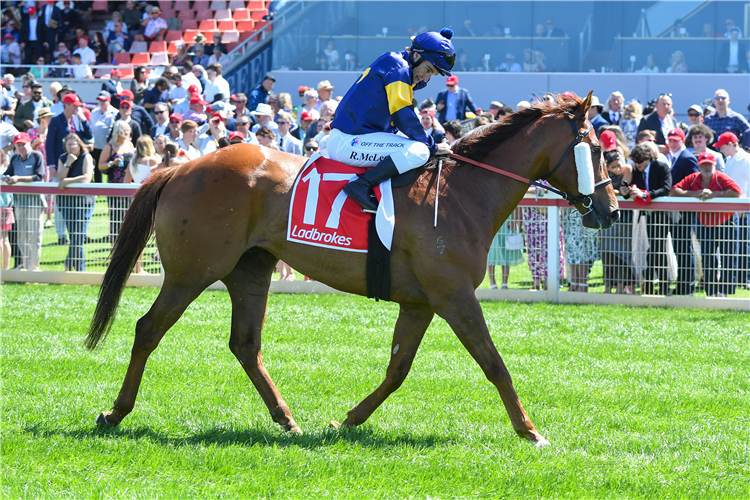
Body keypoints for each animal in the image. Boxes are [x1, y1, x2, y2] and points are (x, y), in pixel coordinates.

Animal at [86, 93, 616, 446]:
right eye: (596, 148)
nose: (610, 210)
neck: (462, 194)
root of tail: (179, 168)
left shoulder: (421, 302)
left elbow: (398, 369)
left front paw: (347, 420)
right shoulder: (454, 296)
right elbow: (494, 363)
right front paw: (530, 430)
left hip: (249, 270)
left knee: (245, 345)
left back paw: (287, 418)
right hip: (191, 271)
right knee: (148, 329)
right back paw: (115, 412)